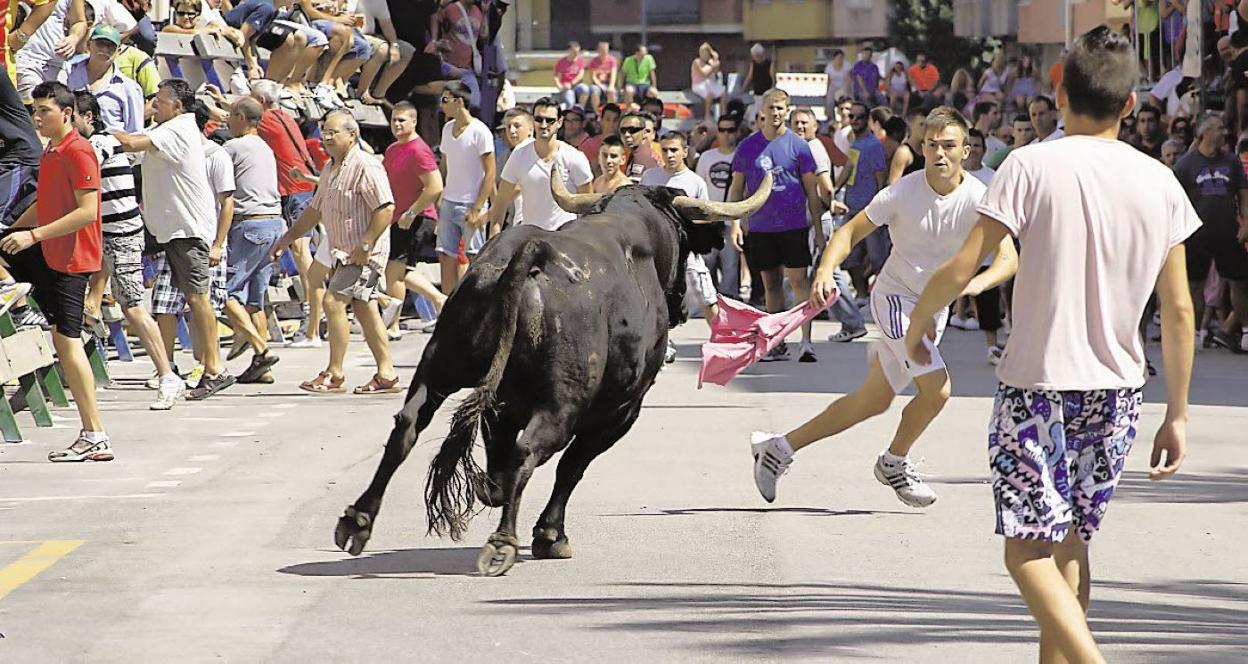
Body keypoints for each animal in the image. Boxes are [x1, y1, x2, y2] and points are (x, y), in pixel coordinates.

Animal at [336, 173, 773, 574]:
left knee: (408, 426)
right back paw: (503, 542)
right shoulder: (621, 411)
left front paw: (492, 490)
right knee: (531, 451)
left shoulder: (504, 403)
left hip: (440, 367)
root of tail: (533, 252)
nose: (682, 306)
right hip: (563, 403)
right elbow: (572, 466)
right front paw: (550, 535)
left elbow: (503, 463)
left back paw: (358, 521)